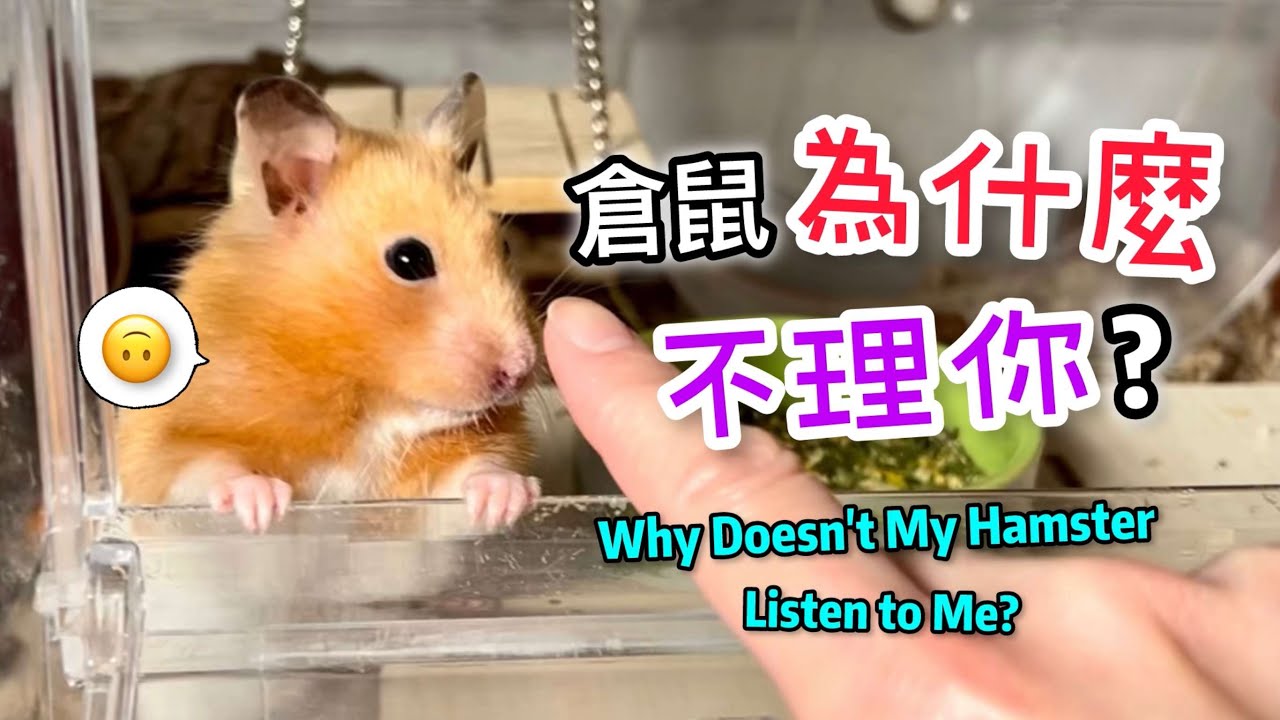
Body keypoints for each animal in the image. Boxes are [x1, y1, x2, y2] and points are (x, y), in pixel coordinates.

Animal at [115, 73, 542, 533]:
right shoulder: (166, 449)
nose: (520, 370)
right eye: (409, 260)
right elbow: (207, 467)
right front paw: (262, 506)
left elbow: (476, 471)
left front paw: (511, 496)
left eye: (504, 246)